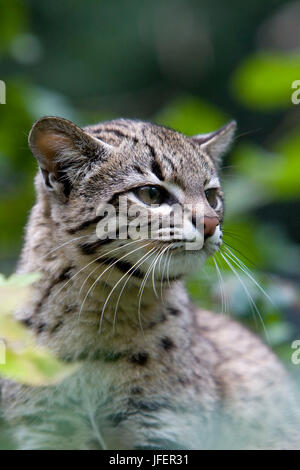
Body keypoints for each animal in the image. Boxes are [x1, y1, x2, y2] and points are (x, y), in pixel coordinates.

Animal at [1, 115, 298, 450]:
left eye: (211, 197)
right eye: (151, 195)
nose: (211, 224)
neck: (98, 309)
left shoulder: (163, 427)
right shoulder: (43, 430)